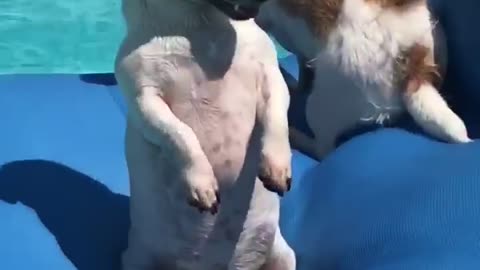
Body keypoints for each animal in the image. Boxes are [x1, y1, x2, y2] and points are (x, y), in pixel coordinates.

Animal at [116, 0, 296, 268]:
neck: (198, 25)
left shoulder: (270, 76)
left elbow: (276, 119)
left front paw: (277, 165)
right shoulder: (144, 98)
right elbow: (180, 134)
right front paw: (201, 182)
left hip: (283, 255)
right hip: (137, 260)